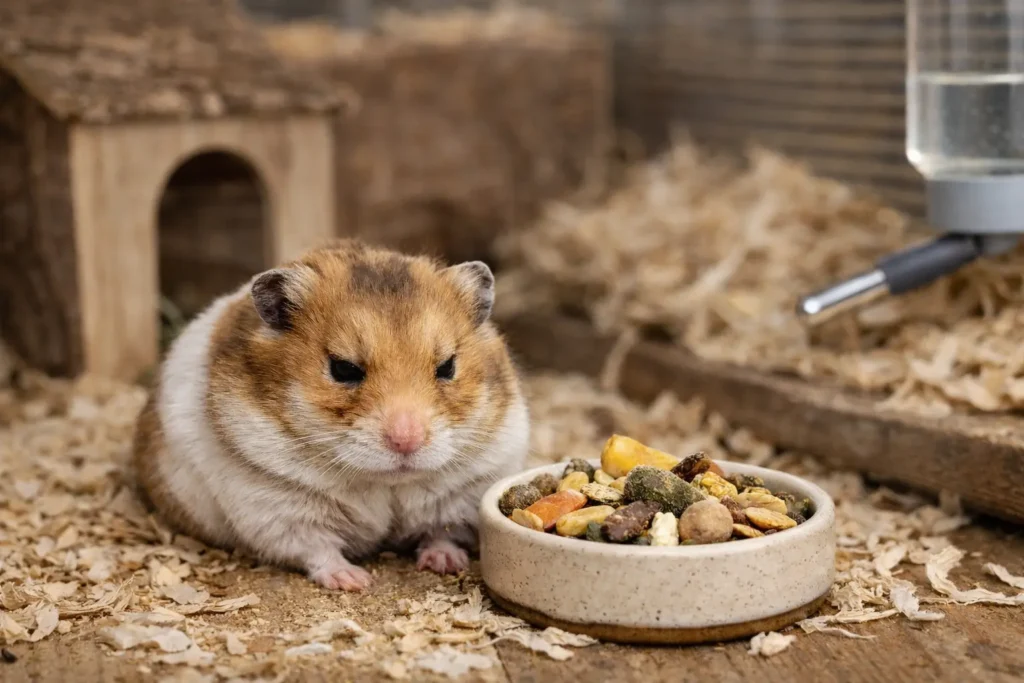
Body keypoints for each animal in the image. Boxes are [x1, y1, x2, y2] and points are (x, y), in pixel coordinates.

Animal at [132, 240, 529, 591]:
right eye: (343, 369)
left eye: (447, 366)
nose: (407, 441)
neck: (384, 482)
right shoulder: (277, 509)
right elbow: (318, 550)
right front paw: (355, 581)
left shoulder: (461, 495)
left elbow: (441, 534)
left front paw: (446, 564)